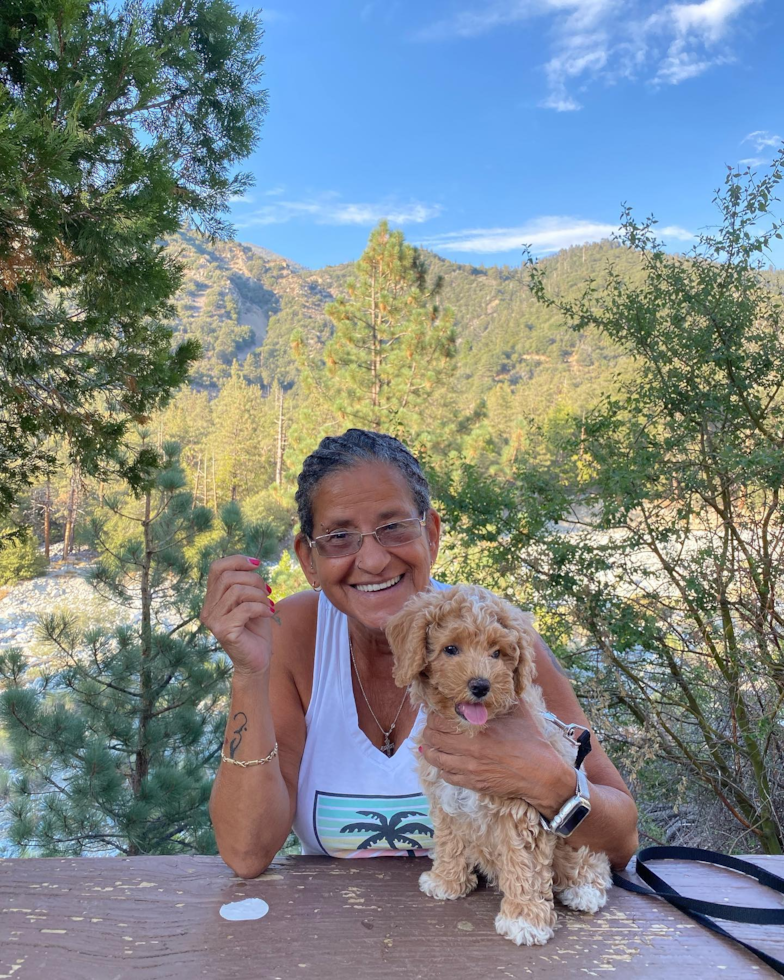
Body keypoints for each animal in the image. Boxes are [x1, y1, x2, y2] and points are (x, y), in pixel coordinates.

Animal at [386, 584, 612, 944]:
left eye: (497, 653)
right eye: (451, 648)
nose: (481, 685)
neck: (471, 732)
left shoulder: (522, 808)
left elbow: (525, 864)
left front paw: (525, 919)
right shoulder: (445, 794)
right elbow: (449, 839)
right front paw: (446, 881)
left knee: (590, 859)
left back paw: (584, 888)